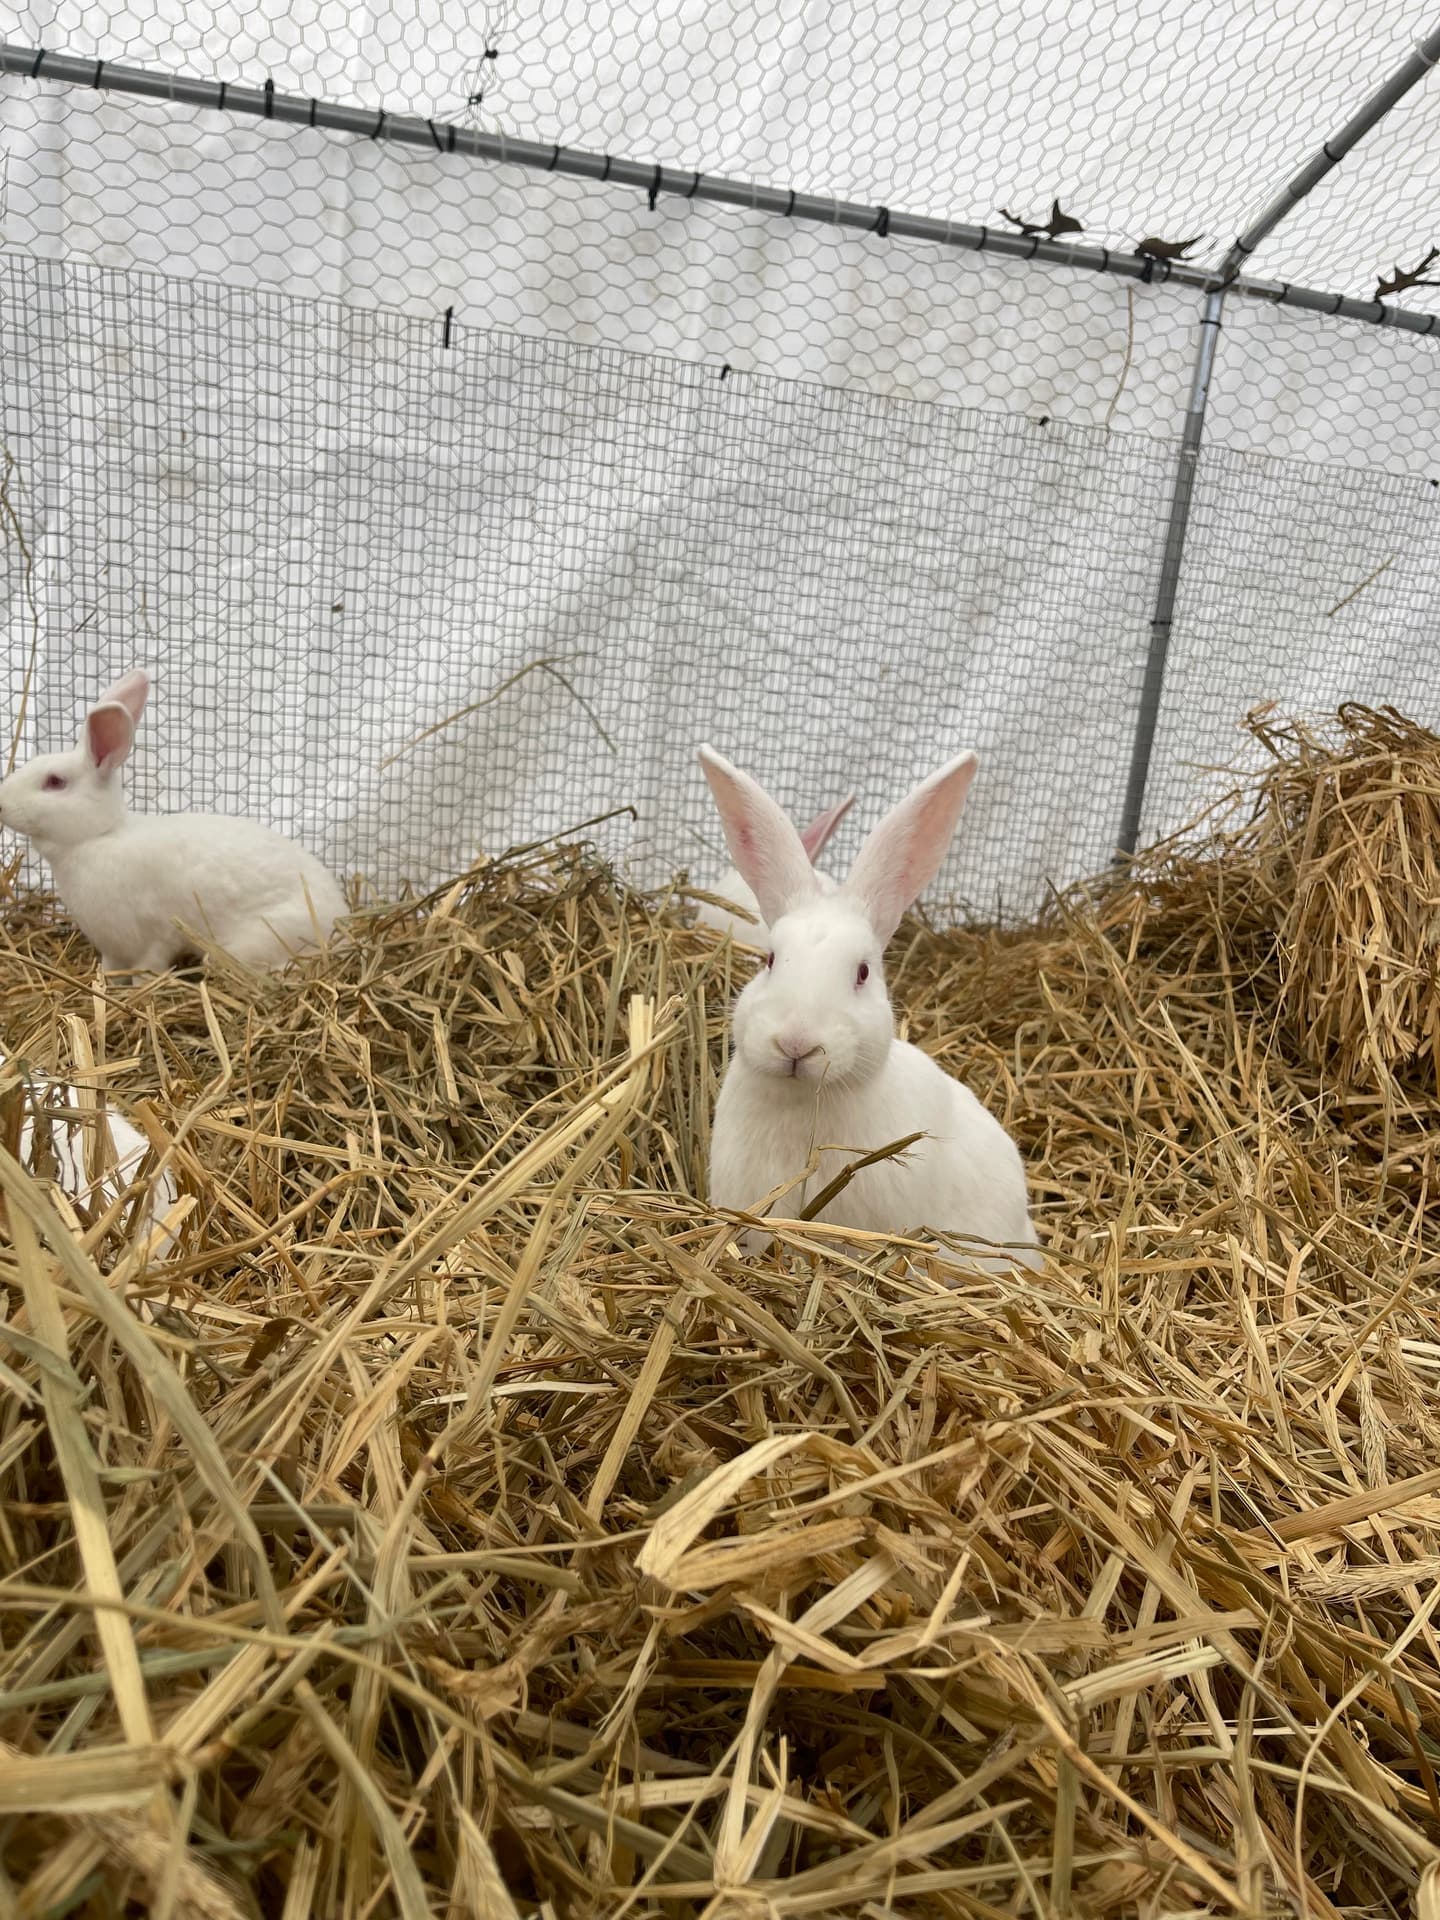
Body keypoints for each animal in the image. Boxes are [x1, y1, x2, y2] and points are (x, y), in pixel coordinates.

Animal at [0, 669, 347, 973]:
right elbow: (110, 971)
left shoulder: (154, 939)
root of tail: (339, 917)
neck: (99, 836)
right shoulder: (113, 950)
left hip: (259, 941)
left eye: (55, 782)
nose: (1, 802)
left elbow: (146, 971)